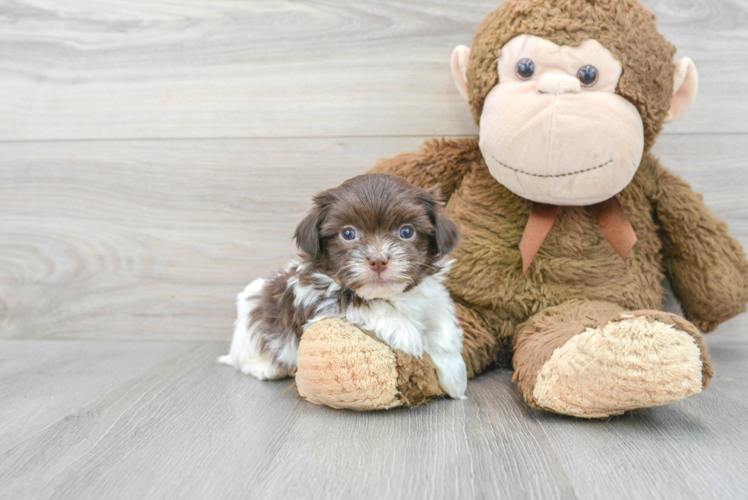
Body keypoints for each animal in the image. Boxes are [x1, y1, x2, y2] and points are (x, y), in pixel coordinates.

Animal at [216, 174, 470, 400]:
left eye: (406, 231)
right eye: (348, 233)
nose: (378, 260)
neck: (389, 296)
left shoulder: (430, 298)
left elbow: (442, 326)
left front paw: (454, 375)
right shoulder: (318, 298)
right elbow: (367, 307)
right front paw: (410, 337)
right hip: (253, 314)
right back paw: (265, 368)